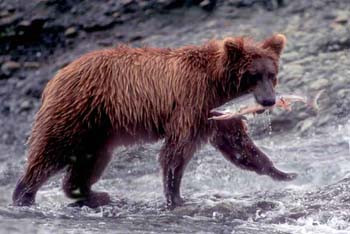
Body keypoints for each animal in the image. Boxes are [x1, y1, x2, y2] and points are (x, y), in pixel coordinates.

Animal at [12, 33, 296, 208]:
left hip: (97, 129)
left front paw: (284, 173)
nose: (269, 101)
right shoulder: (191, 101)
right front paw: (175, 197)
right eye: (253, 75)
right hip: (76, 112)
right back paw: (24, 196)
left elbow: (238, 144)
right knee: (52, 150)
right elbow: (177, 151)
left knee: (91, 159)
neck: (216, 83)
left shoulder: (215, 112)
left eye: (271, 74)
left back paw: (92, 193)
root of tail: (57, 75)